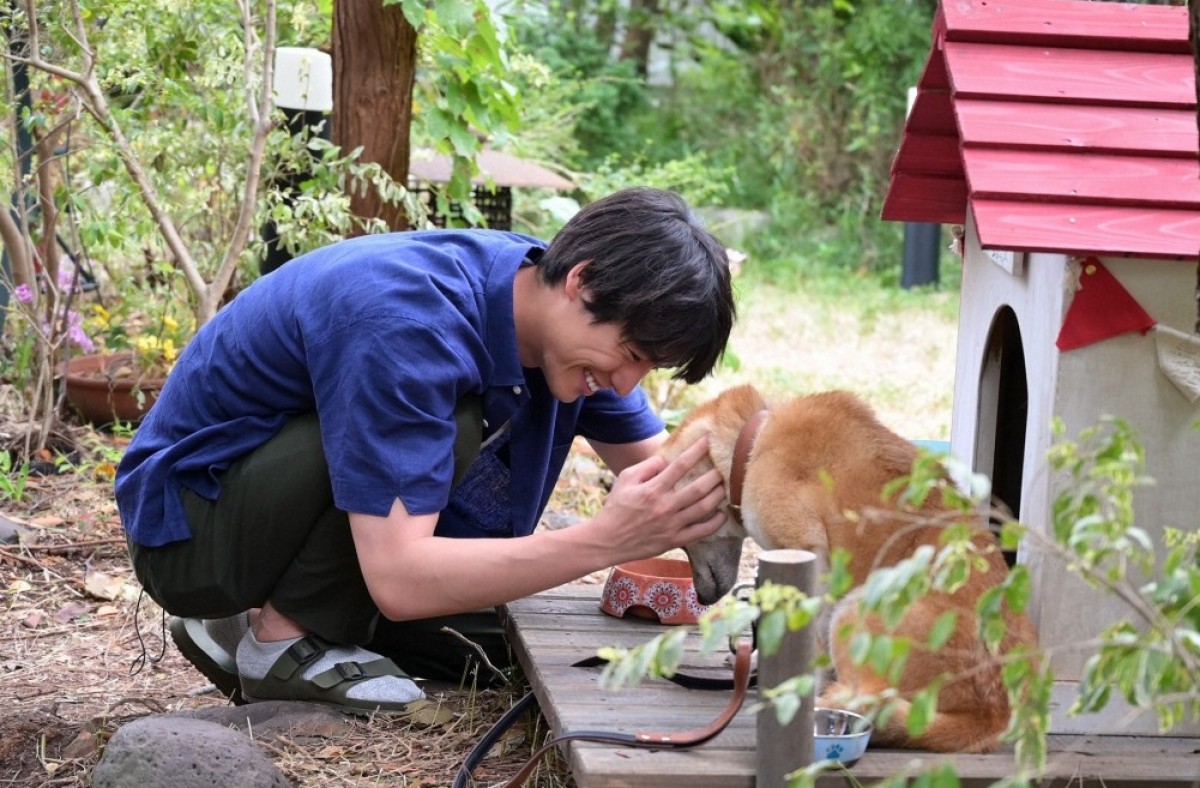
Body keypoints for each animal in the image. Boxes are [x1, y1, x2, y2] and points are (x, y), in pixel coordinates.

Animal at [662, 383, 1036, 753]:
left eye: (685, 534)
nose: (702, 597)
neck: (753, 440)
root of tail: (991, 716)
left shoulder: (807, 557)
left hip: (853, 609)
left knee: (867, 697)